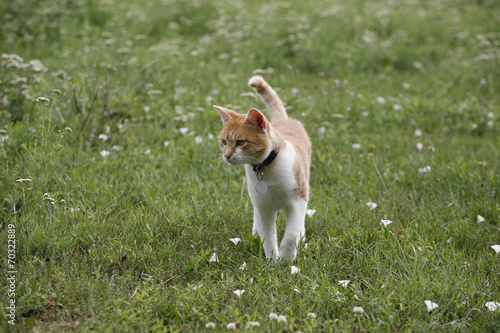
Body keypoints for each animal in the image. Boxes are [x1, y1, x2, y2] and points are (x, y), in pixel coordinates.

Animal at [213, 76, 310, 262]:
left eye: (240, 142)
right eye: (224, 141)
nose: (226, 155)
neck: (267, 166)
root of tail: (282, 120)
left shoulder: (298, 200)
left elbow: (291, 234)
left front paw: (287, 260)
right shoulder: (263, 207)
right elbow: (269, 237)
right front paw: (272, 261)